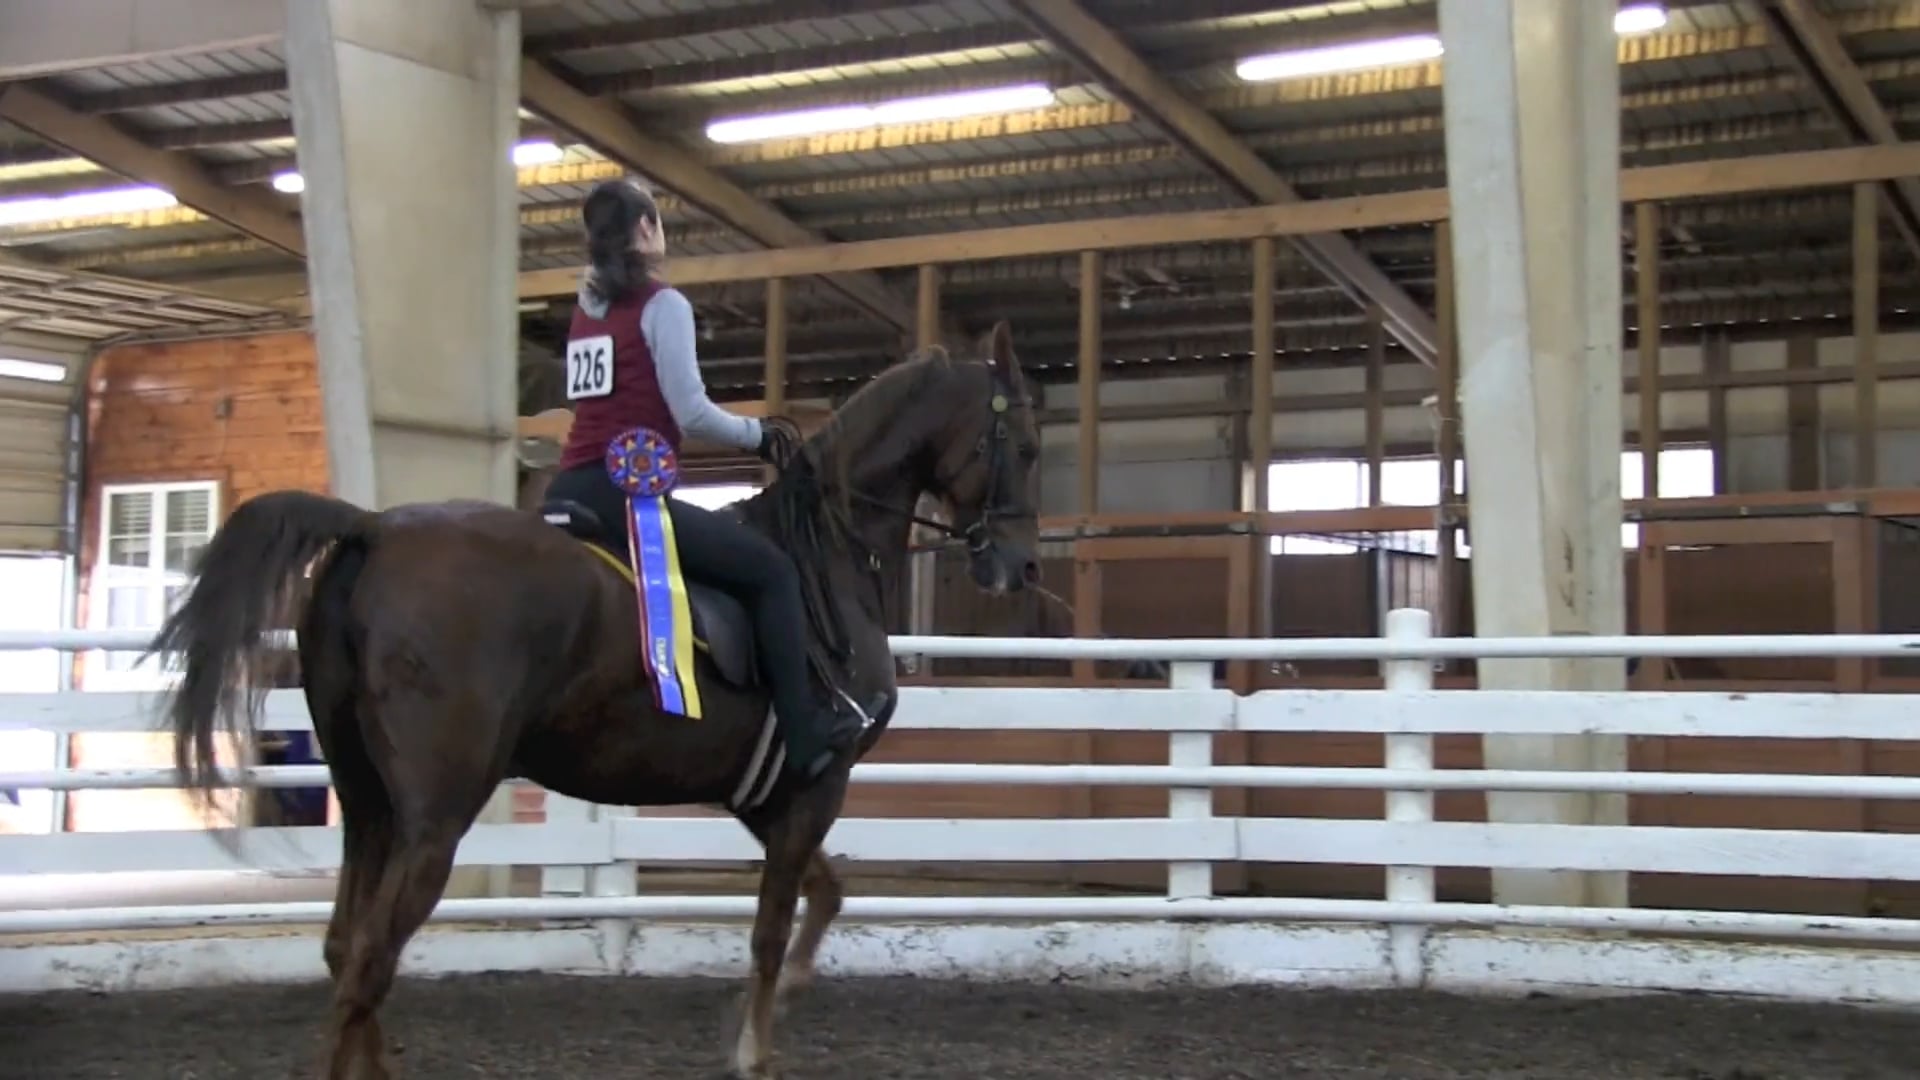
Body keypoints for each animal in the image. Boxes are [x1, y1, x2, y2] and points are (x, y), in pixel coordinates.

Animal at [148, 321, 1043, 1079]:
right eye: (1028, 447)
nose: (1021, 567)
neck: (826, 555)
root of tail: (376, 528)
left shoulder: (765, 795)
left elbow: (827, 894)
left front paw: (768, 1008)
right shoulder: (817, 783)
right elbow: (769, 928)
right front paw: (754, 1049)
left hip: (369, 807)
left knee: (348, 952)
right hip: (434, 816)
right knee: (368, 960)